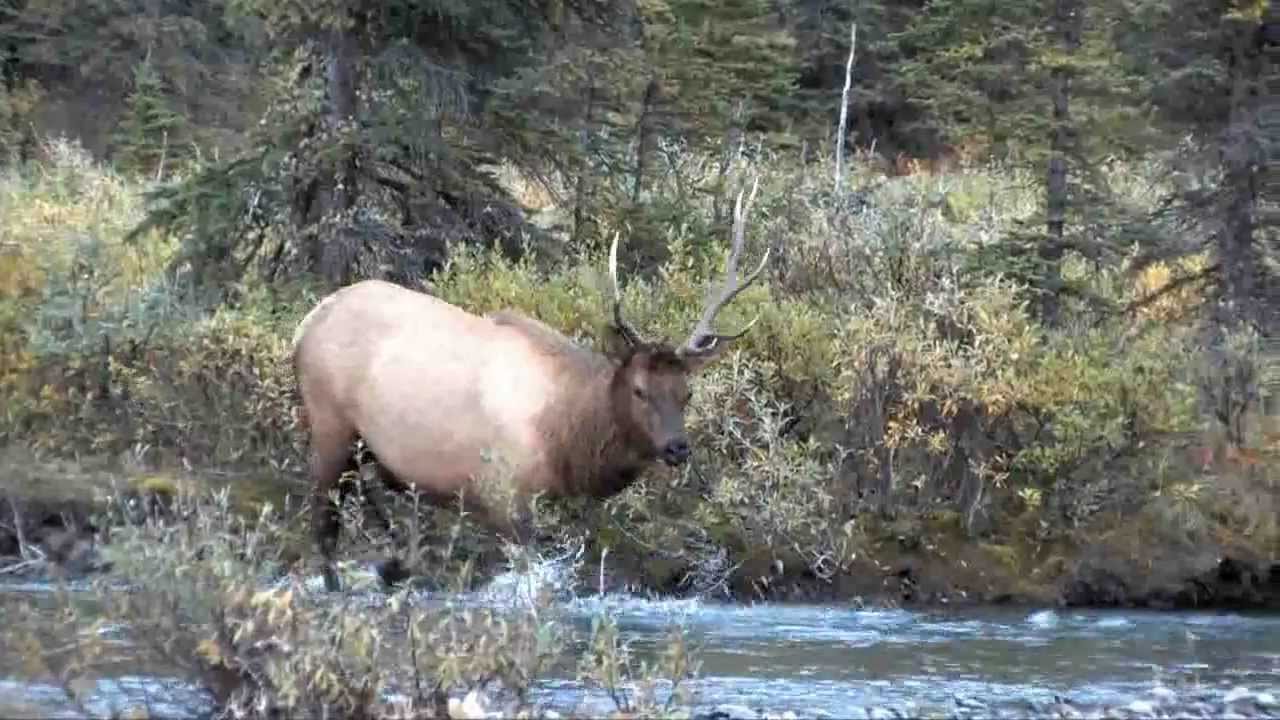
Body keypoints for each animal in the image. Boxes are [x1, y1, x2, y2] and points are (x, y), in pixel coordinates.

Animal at [291, 178, 771, 592]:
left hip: (367, 446)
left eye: (686, 393)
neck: (567, 434)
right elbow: (531, 577)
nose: (676, 447)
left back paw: (395, 564)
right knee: (323, 520)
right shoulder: (506, 496)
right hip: (330, 423)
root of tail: (306, 322)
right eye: (639, 390)